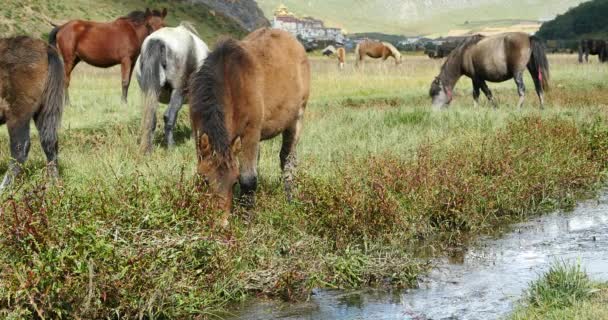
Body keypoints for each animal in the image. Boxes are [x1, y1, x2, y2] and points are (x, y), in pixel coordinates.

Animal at [0, 36, 65, 190]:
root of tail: (45, 48)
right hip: (42, 112)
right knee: (50, 144)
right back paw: (55, 185)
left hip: (17, 114)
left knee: (20, 148)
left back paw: (4, 188)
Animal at [134, 21, 210, 153]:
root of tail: (158, 40)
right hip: (178, 91)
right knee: (169, 116)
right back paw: (170, 146)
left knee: (151, 119)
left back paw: (149, 148)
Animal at [190, 28, 312, 225]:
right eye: (205, 180)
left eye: (233, 182)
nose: (221, 223)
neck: (230, 80)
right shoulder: (198, 132)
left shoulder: (250, 133)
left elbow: (248, 179)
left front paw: (247, 218)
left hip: (296, 120)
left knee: (288, 160)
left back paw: (289, 198)